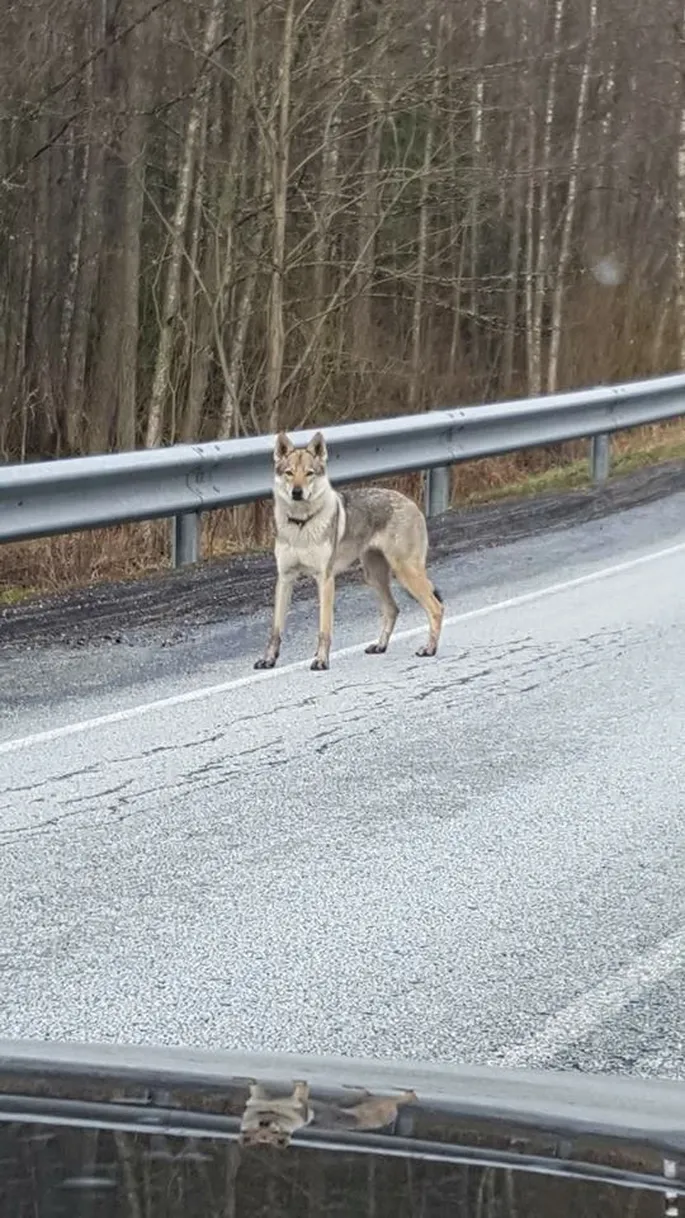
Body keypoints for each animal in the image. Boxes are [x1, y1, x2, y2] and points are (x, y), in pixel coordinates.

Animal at [252, 431, 443, 677]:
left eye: (309, 473)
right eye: (290, 473)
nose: (297, 492)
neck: (301, 525)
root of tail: (411, 503)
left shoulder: (325, 579)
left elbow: (324, 629)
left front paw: (321, 661)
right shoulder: (285, 578)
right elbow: (275, 630)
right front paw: (268, 660)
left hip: (405, 573)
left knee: (436, 608)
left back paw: (429, 649)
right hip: (373, 577)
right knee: (393, 609)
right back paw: (380, 646)